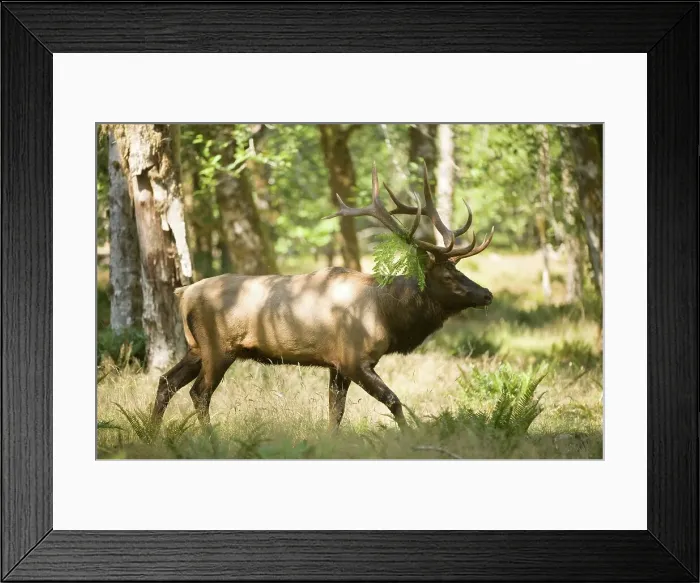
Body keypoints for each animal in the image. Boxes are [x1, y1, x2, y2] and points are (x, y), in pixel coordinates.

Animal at [150, 162, 494, 432]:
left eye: (459, 269)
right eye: (448, 276)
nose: (487, 294)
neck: (387, 314)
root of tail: (184, 292)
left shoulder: (336, 364)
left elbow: (335, 412)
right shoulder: (354, 359)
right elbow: (393, 401)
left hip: (196, 348)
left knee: (166, 382)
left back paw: (151, 434)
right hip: (219, 348)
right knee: (199, 393)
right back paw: (209, 437)